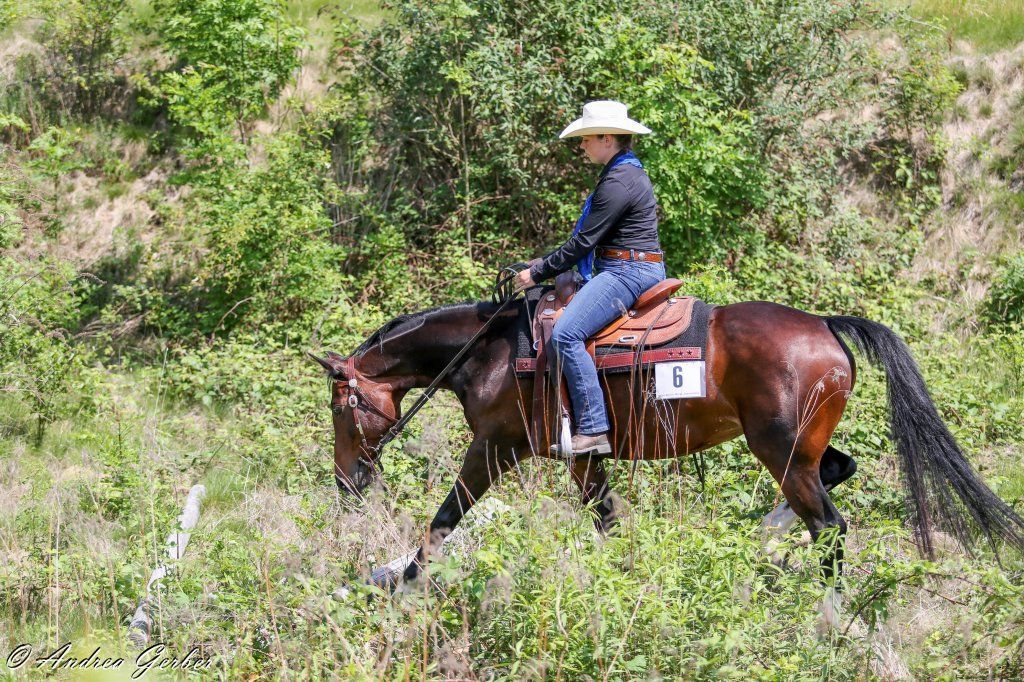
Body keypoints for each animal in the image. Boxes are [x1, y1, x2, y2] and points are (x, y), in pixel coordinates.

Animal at [311, 297, 1024, 587]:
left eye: (341, 407)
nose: (347, 482)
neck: (490, 350)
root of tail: (825, 325)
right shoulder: (582, 459)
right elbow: (605, 520)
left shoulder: (494, 446)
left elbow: (444, 517)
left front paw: (402, 583)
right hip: (804, 449)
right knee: (836, 475)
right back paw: (759, 542)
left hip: (781, 451)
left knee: (830, 526)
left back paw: (827, 609)